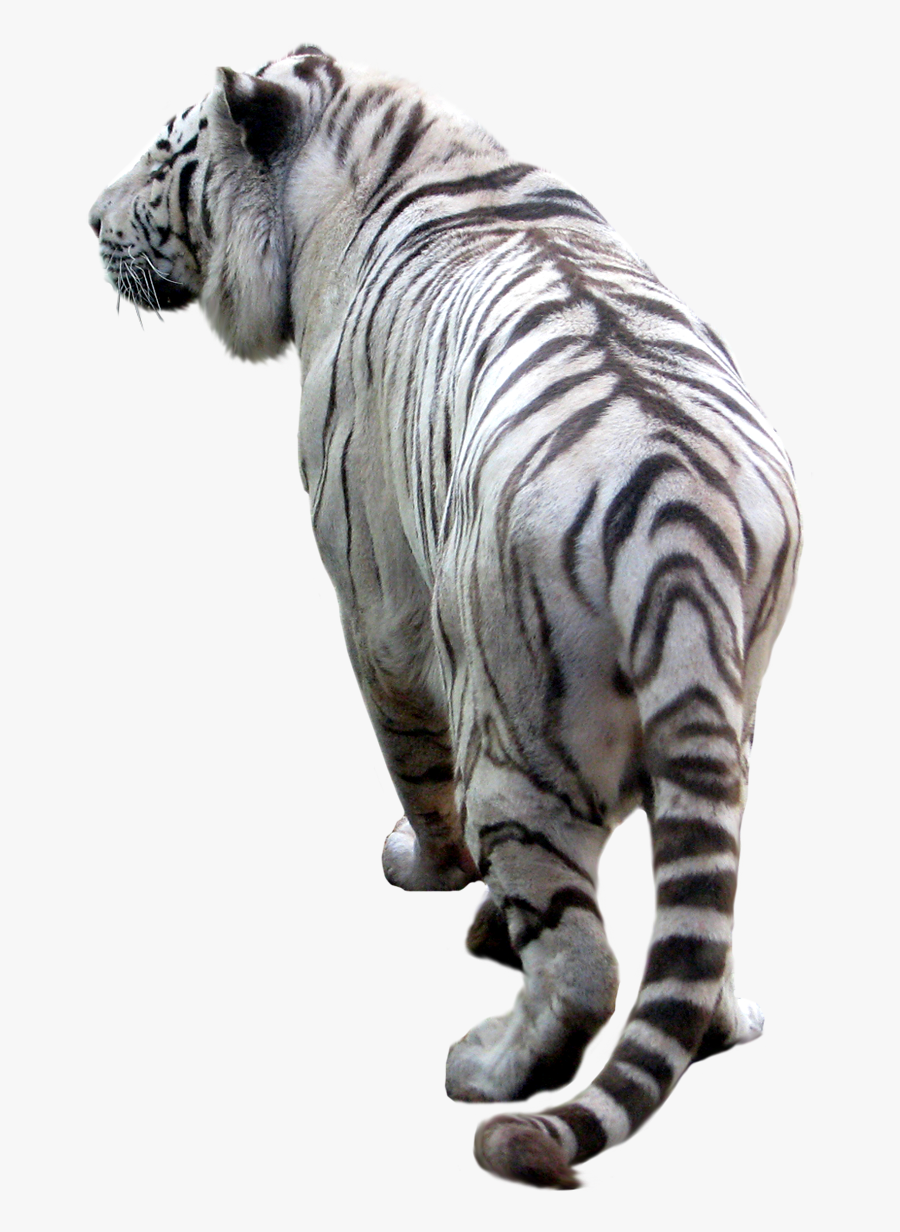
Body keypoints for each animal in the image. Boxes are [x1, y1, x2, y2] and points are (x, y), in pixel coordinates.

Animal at [89, 45, 801, 1188]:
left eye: (162, 159)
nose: (85, 219)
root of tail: (679, 518)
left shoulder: (374, 599)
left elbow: (413, 767)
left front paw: (426, 871)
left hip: (516, 738)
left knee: (584, 962)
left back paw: (490, 1066)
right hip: (731, 713)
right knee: (703, 916)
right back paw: (722, 1018)